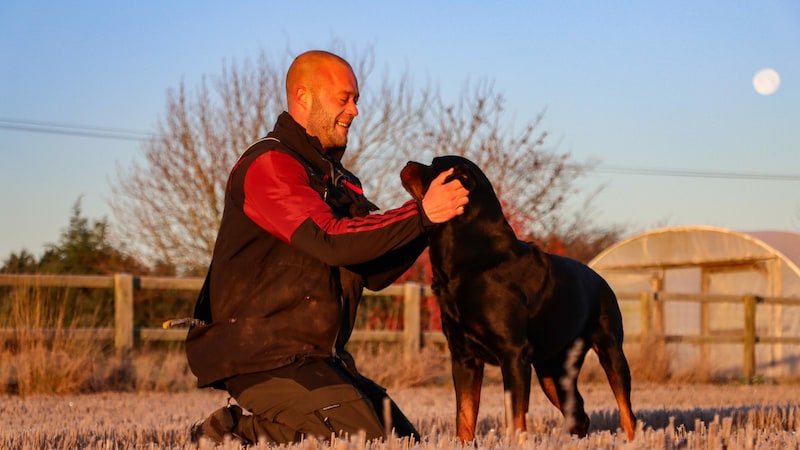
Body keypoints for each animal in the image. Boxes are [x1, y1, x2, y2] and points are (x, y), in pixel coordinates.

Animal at [400, 155, 636, 440]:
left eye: (434, 164)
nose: (408, 162)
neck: (470, 258)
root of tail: (600, 279)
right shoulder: (464, 357)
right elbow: (464, 417)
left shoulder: (514, 355)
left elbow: (515, 418)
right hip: (552, 370)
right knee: (578, 412)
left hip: (610, 350)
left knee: (626, 411)